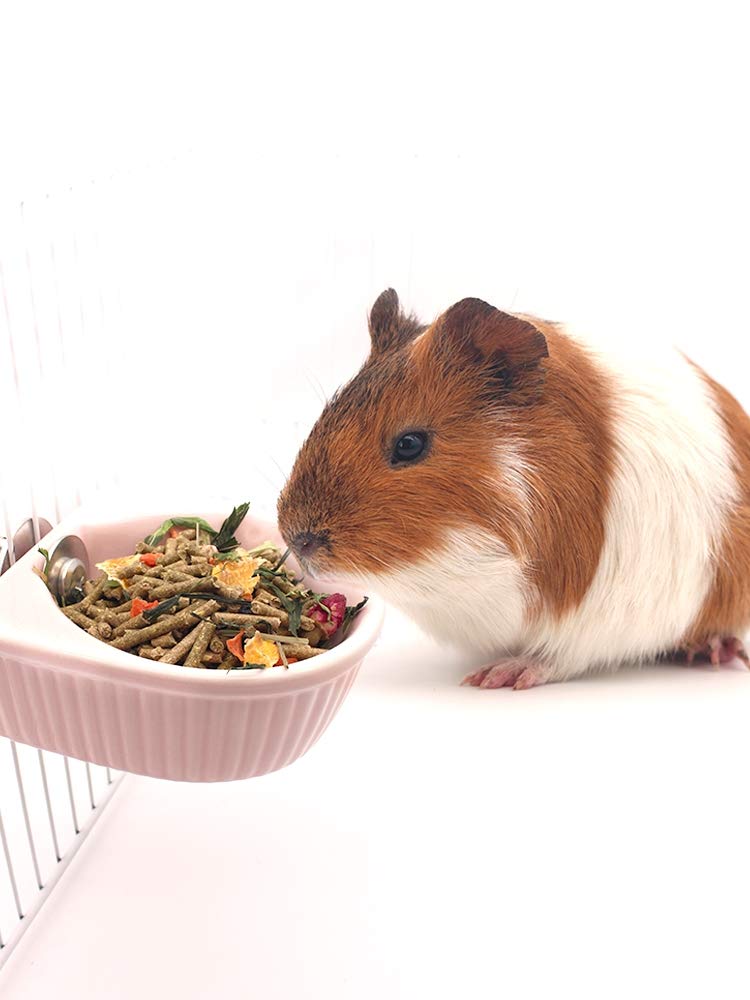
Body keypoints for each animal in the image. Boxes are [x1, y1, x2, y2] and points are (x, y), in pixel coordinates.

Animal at [277, 289, 750, 689]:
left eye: (409, 444)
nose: (298, 539)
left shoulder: (598, 620)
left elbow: (556, 658)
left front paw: (495, 678)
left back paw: (716, 653)